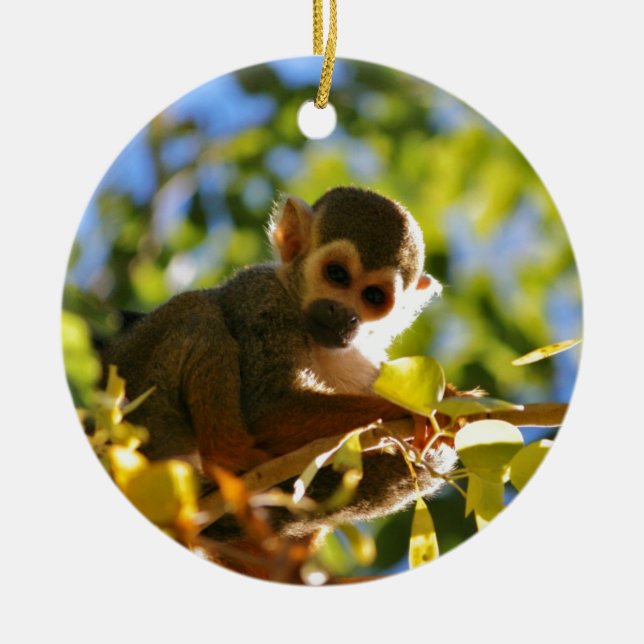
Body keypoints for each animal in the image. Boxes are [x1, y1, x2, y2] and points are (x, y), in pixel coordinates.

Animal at [102, 186, 456, 570]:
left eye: (374, 296)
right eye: (337, 275)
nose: (345, 315)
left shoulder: (369, 363)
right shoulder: (262, 296)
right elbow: (270, 408)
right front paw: (429, 410)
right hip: (136, 395)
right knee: (198, 309)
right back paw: (227, 455)